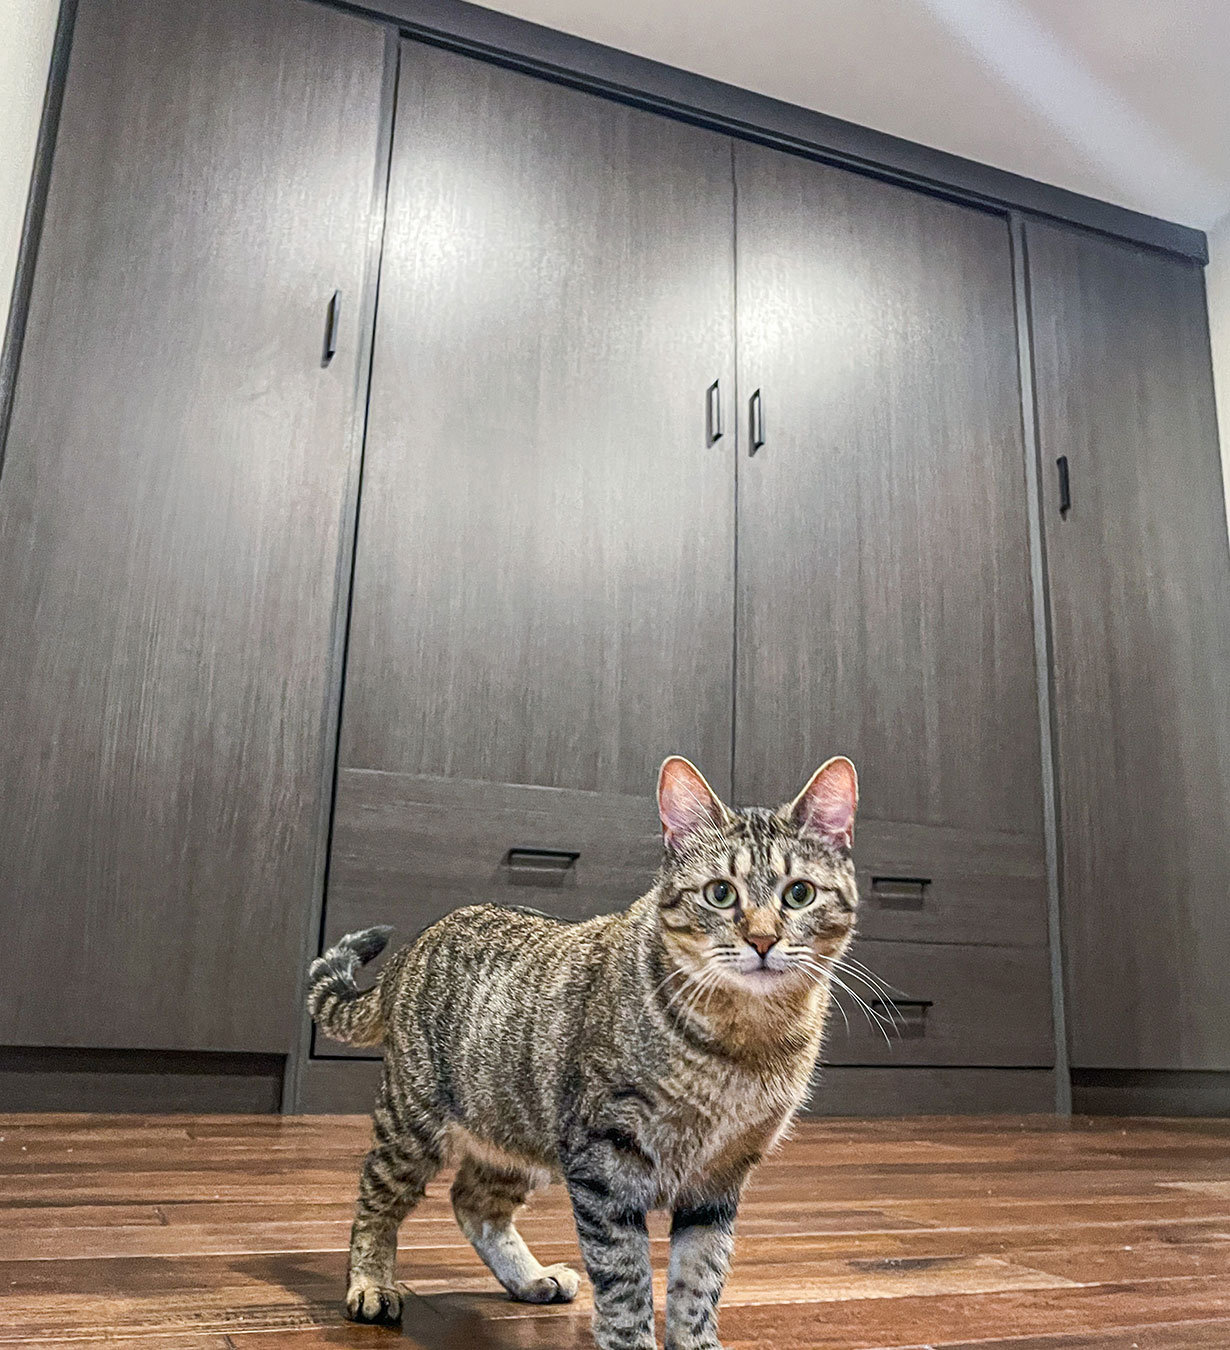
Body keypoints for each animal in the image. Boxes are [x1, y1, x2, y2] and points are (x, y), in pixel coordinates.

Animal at [310, 756, 858, 1344]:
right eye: (720, 893)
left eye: (799, 894)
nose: (761, 939)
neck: (746, 1045)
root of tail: (418, 940)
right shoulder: (604, 1163)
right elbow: (625, 1280)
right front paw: (633, 1339)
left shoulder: (720, 1177)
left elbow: (699, 1281)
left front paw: (696, 1340)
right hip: (414, 1124)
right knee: (376, 1199)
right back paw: (370, 1284)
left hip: (517, 1128)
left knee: (473, 1201)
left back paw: (529, 1277)